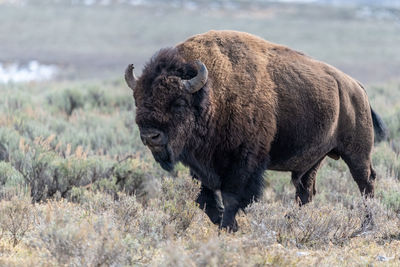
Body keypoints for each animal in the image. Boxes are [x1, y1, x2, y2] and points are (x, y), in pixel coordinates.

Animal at [126, 29, 388, 232]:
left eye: (179, 102)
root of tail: (357, 87)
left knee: (366, 183)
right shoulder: (201, 165)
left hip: (356, 153)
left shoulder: (244, 161)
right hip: (314, 159)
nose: (151, 136)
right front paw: (223, 221)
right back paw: (291, 221)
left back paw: (366, 225)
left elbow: (232, 196)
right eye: (138, 100)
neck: (212, 93)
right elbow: (204, 199)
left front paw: (229, 226)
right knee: (305, 191)